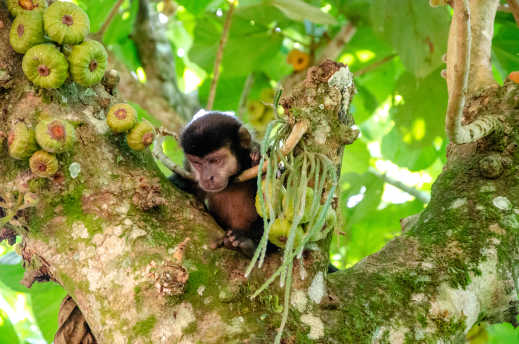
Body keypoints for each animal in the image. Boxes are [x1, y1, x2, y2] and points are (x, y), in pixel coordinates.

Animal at [171, 111, 264, 256]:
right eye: (197, 163)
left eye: (215, 160)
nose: (207, 178)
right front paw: (180, 181)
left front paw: (256, 157)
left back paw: (248, 243)